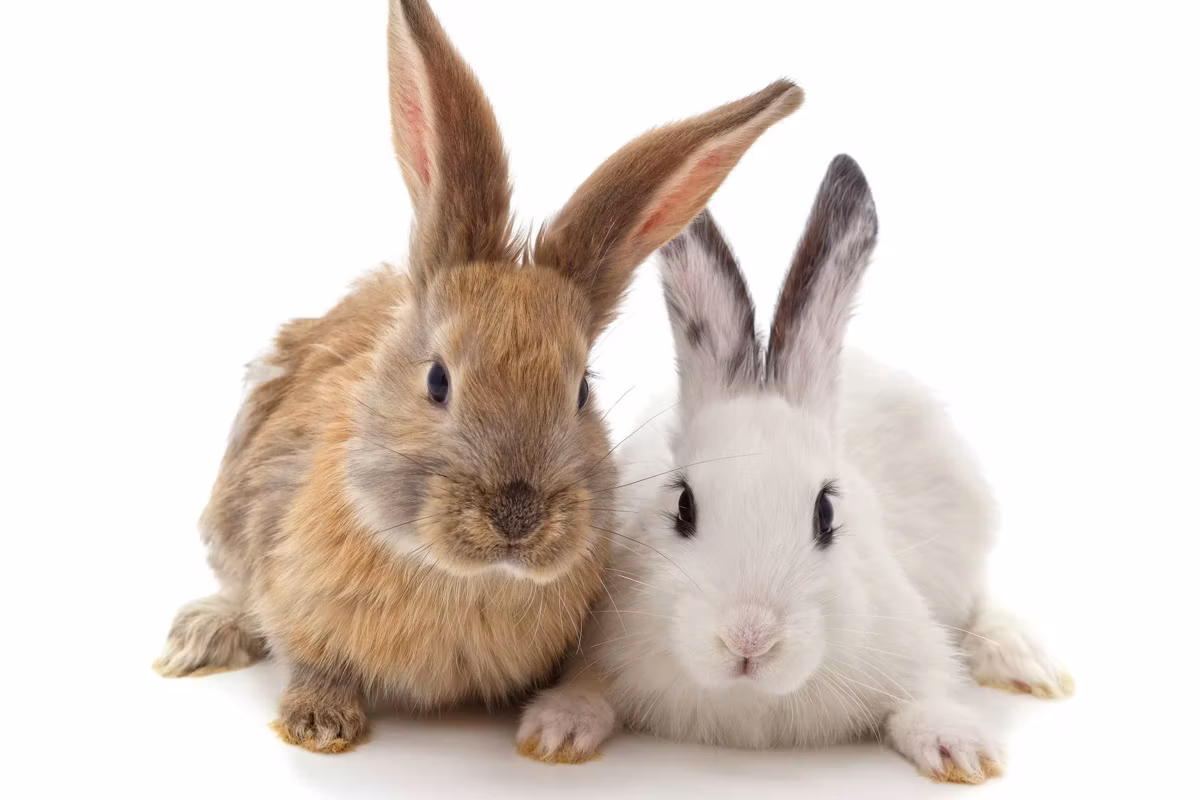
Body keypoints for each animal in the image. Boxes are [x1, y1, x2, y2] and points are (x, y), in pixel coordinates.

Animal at [152, 0, 805, 754]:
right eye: (437, 381)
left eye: (582, 390)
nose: (517, 515)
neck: (465, 577)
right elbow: (312, 659)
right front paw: (318, 724)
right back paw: (198, 638)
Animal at [516, 155, 1073, 783]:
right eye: (682, 506)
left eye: (825, 512)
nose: (749, 639)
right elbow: (587, 687)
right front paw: (557, 731)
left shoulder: (910, 634)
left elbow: (928, 692)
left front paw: (963, 751)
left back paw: (1026, 661)